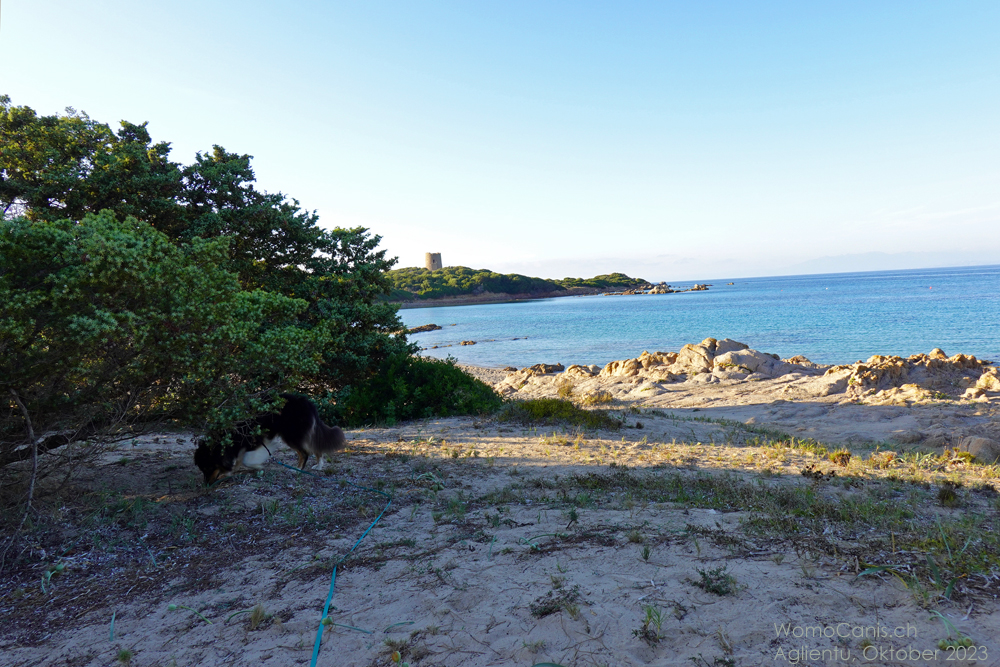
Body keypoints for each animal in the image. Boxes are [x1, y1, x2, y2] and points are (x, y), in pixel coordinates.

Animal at [194, 396, 348, 486]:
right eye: (202, 469)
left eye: (208, 468)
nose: (206, 485)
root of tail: (308, 403)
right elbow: (238, 460)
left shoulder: (257, 440)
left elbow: (245, 460)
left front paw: (257, 467)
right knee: (315, 448)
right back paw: (319, 465)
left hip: (291, 435)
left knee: (305, 453)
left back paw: (297, 470)